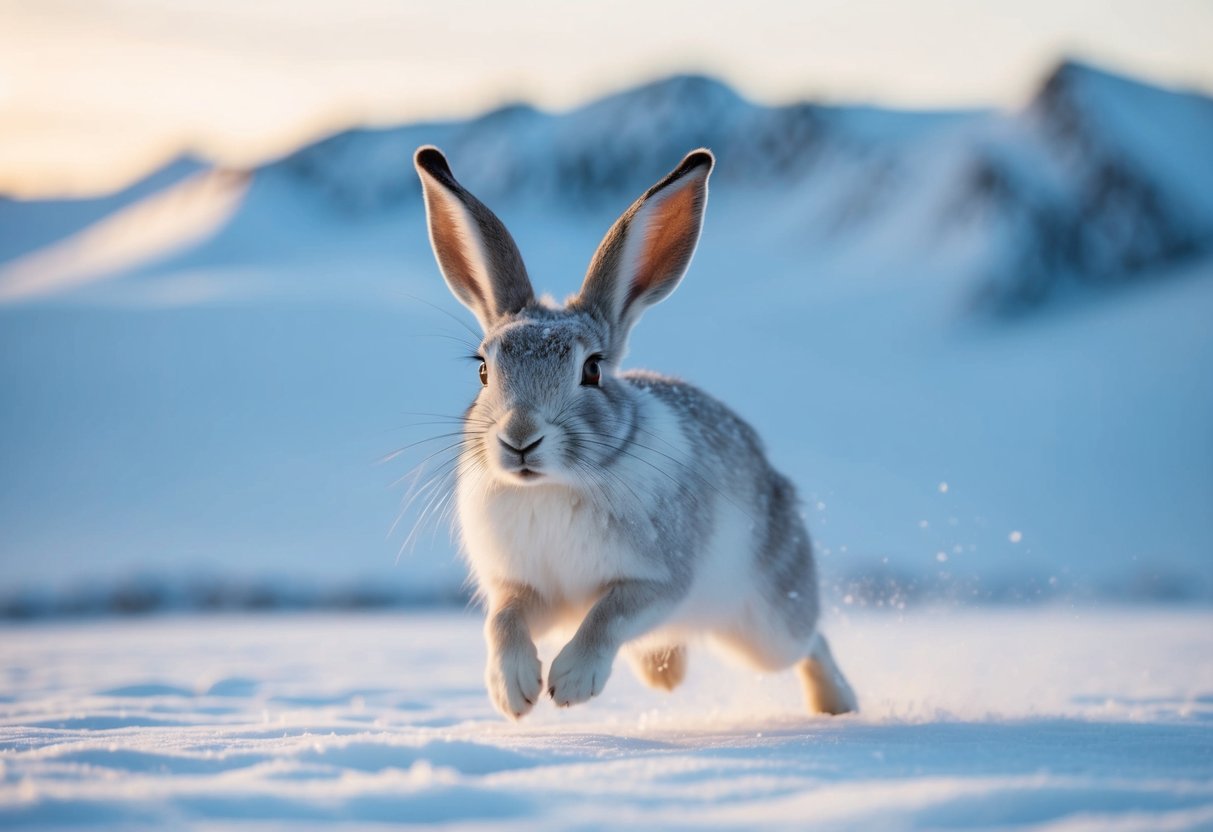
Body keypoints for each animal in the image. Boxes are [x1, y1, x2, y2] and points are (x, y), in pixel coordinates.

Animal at [413, 144, 857, 720]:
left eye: (592, 370)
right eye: (484, 370)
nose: (520, 439)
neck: (554, 485)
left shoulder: (657, 582)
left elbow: (610, 615)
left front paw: (571, 683)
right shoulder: (526, 588)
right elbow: (504, 620)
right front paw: (513, 691)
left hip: (765, 622)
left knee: (809, 640)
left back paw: (838, 704)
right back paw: (663, 676)